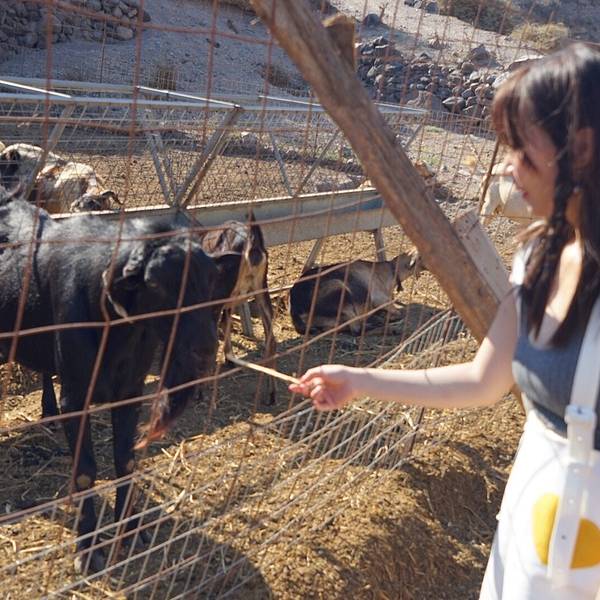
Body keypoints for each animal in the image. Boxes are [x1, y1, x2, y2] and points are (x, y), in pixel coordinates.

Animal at [0, 187, 235, 573]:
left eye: (211, 279)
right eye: (154, 284)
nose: (203, 349)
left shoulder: (131, 390)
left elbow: (126, 461)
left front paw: (132, 533)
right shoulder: (76, 396)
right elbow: (84, 472)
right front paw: (88, 550)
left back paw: (47, 412)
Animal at [290, 252, 423, 336]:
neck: (389, 271)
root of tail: (295, 309)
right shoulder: (378, 298)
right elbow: (398, 313)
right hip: (340, 292)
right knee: (356, 331)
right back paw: (389, 329)